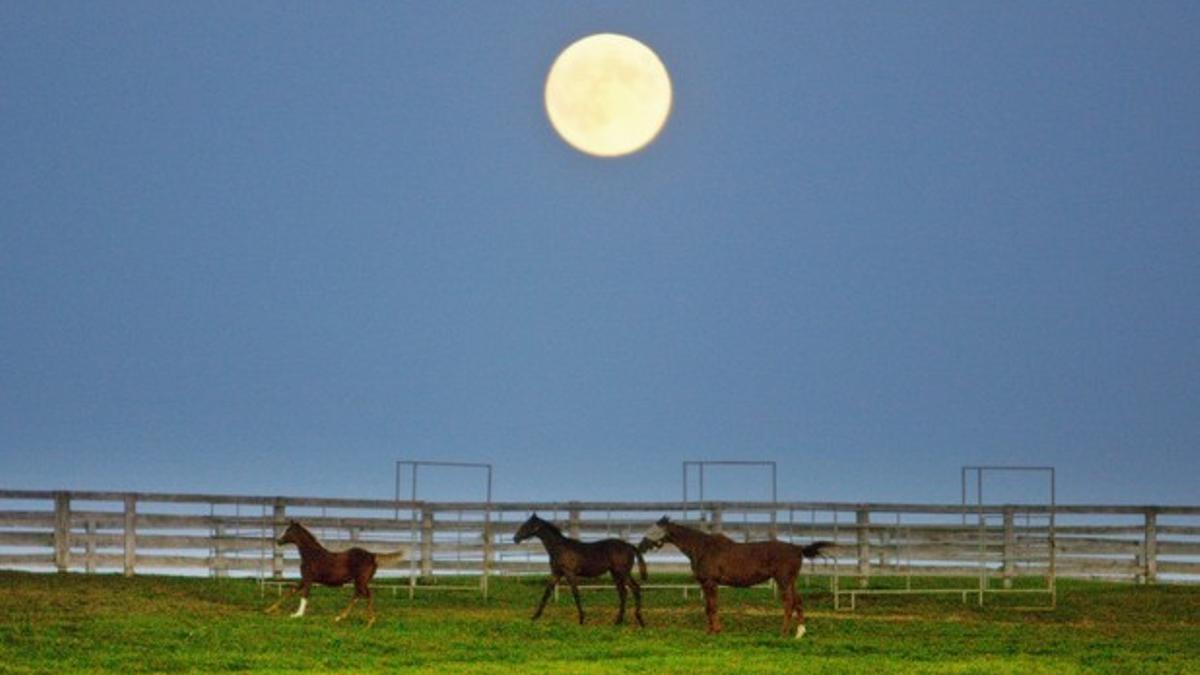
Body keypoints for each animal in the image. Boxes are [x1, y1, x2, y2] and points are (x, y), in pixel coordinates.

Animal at [265, 521, 405, 624]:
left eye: (288, 530)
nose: (278, 541)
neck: (312, 555)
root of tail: (372, 555)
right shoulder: (304, 579)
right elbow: (291, 591)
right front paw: (269, 609)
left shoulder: (308, 579)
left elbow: (304, 595)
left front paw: (297, 615)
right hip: (360, 581)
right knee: (358, 595)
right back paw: (341, 617)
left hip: (361, 580)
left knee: (366, 595)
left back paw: (369, 620)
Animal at [513, 509, 652, 624]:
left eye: (526, 525)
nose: (515, 538)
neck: (559, 548)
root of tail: (629, 546)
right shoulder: (557, 573)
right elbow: (547, 592)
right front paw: (534, 617)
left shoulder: (569, 573)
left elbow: (575, 593)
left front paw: (581, 619)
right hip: (616, 574)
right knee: (623, 592)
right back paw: (618, 621)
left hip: (622, 572)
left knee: (635, 588)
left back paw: (640, 620)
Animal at [638, 514, 825, 634]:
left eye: (653, 530)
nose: (640, 547)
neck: (702, 548)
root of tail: (798, 548)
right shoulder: (705, 584)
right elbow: (708, 607)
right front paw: (709, 631)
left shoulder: (711, 582)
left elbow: (713, 607)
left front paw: (716, 631)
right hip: (790, 581)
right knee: (798, 601)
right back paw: (799, 633)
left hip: (783, 581)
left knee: (789, 603)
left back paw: (783, 632)